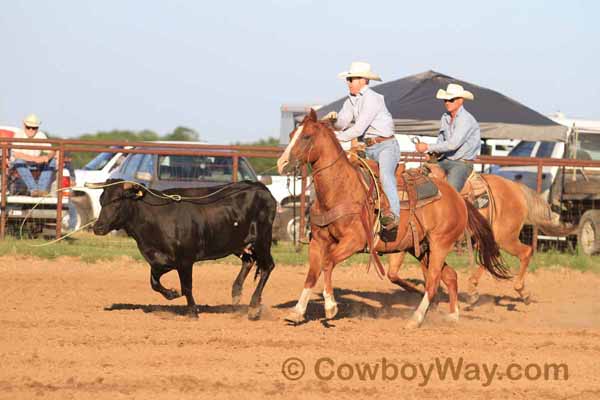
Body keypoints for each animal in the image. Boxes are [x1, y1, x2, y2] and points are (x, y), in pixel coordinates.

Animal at [276, 111, 510, 330]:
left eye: (306, 136)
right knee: (450, 276)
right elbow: (312, 273)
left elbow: (327, 263)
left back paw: (416, 319)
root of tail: (459, 198)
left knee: (433, 280)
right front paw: (297, 312)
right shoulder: (318, 241)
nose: (281, 163)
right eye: (291, 134)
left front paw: (330, 306)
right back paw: (452, 316)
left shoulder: (354, 241)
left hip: (441, 243)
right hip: (423, 248)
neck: (341, 189)